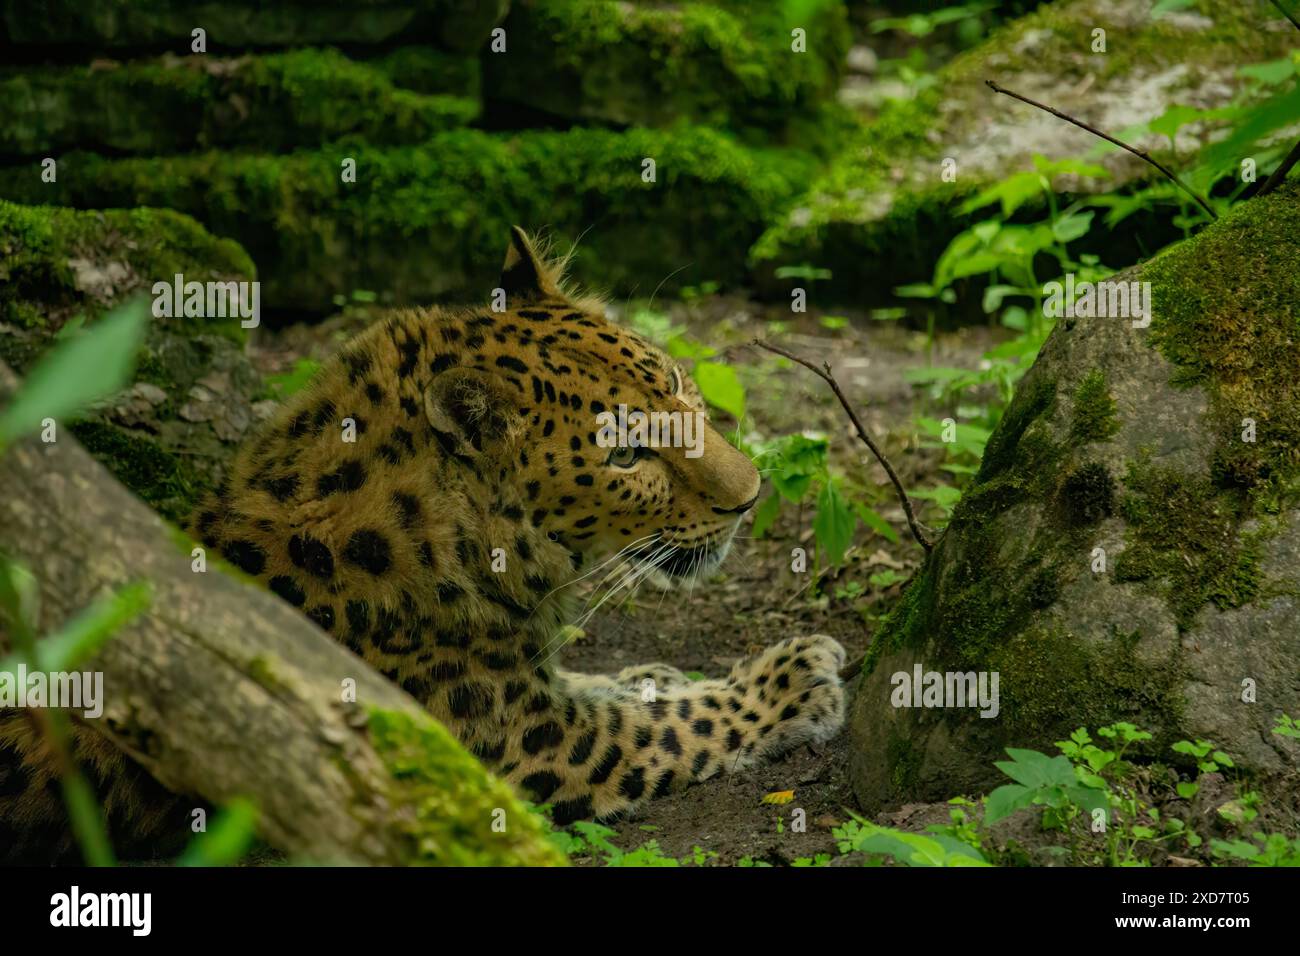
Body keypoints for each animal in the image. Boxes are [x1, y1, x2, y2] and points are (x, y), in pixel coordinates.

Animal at [0, 228, 845, 860]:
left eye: (673, 379)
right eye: (627, 457)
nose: (749, 496)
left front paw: (650, 673)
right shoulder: (519, 745)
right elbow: (678, 727)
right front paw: (793, 680)